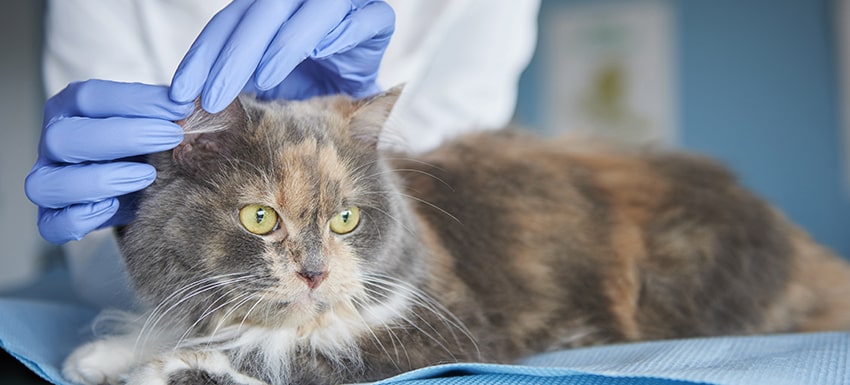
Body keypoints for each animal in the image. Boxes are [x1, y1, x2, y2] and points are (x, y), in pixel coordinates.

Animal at [61, 88, 848, 384]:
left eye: (345, 218)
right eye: (261, 218)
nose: (314, 272)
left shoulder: (437, 333)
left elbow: (284, 354)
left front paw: (163, 370)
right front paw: (102, 354)